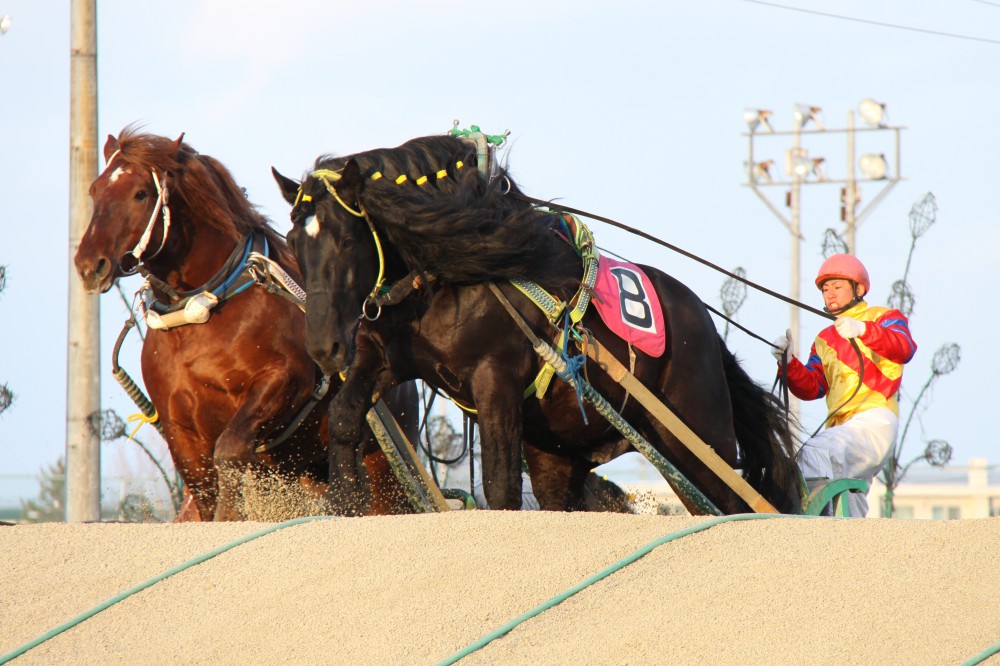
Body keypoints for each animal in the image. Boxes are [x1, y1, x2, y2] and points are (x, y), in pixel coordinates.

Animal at [74, 126, 419, 521]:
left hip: (384, 473)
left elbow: (230, 451)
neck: (201, 317)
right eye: (95, 190)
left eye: (140, 193)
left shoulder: (283, 382)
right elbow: (204, 489)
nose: (89, 265)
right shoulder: (180, 431)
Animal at [272, 135, 803, 514]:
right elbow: (345, 416)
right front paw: (345, 501)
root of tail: (706, 327)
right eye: (294, 243)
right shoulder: (386, 359)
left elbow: (501, 484)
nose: (323, 347)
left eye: (345, 240)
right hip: (564, 452)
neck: (447, 276)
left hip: (698, 437)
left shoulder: (495, 379)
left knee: (732, 502)